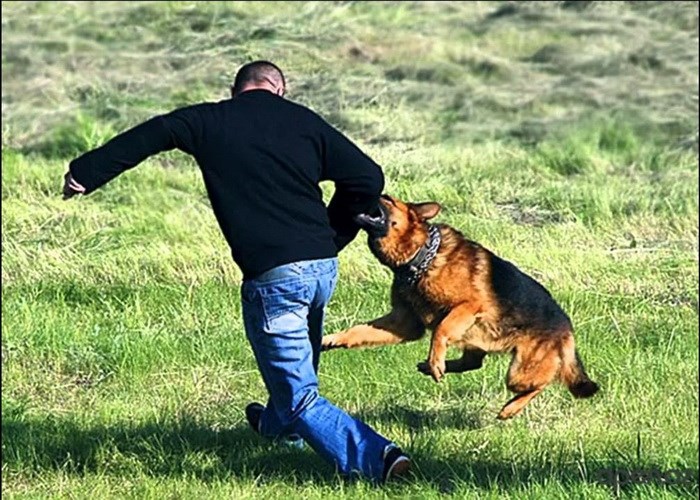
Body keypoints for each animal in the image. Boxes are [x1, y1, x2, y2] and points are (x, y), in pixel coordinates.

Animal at [320, 194, 600, 418]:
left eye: (387, 199)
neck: (422, 257)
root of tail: (566, 328)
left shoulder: (467, 306)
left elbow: (440, 330)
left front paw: (435, 359)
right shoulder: (404, 323)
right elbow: (359, 330)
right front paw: (333, 339)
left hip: (519, 373)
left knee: (541, 383)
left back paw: (510, 408)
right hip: (482, 344)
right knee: (473, 364)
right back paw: (437, 367)